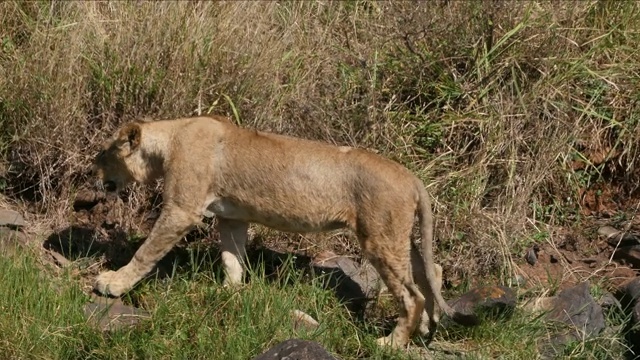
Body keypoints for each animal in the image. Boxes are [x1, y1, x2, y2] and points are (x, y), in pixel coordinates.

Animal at [91, 114, 460, 346]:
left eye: (104, 153)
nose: (93, 172)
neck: (169, 139)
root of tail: (412, 177)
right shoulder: (232, 217)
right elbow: (232, 258)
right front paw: (230, 293)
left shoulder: (181, 210)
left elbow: (146, 251)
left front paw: (113, 283)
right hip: (398, 236)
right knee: (431, 272)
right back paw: (425, 328)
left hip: (378, 237)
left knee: (411, 295)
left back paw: (390, 343)